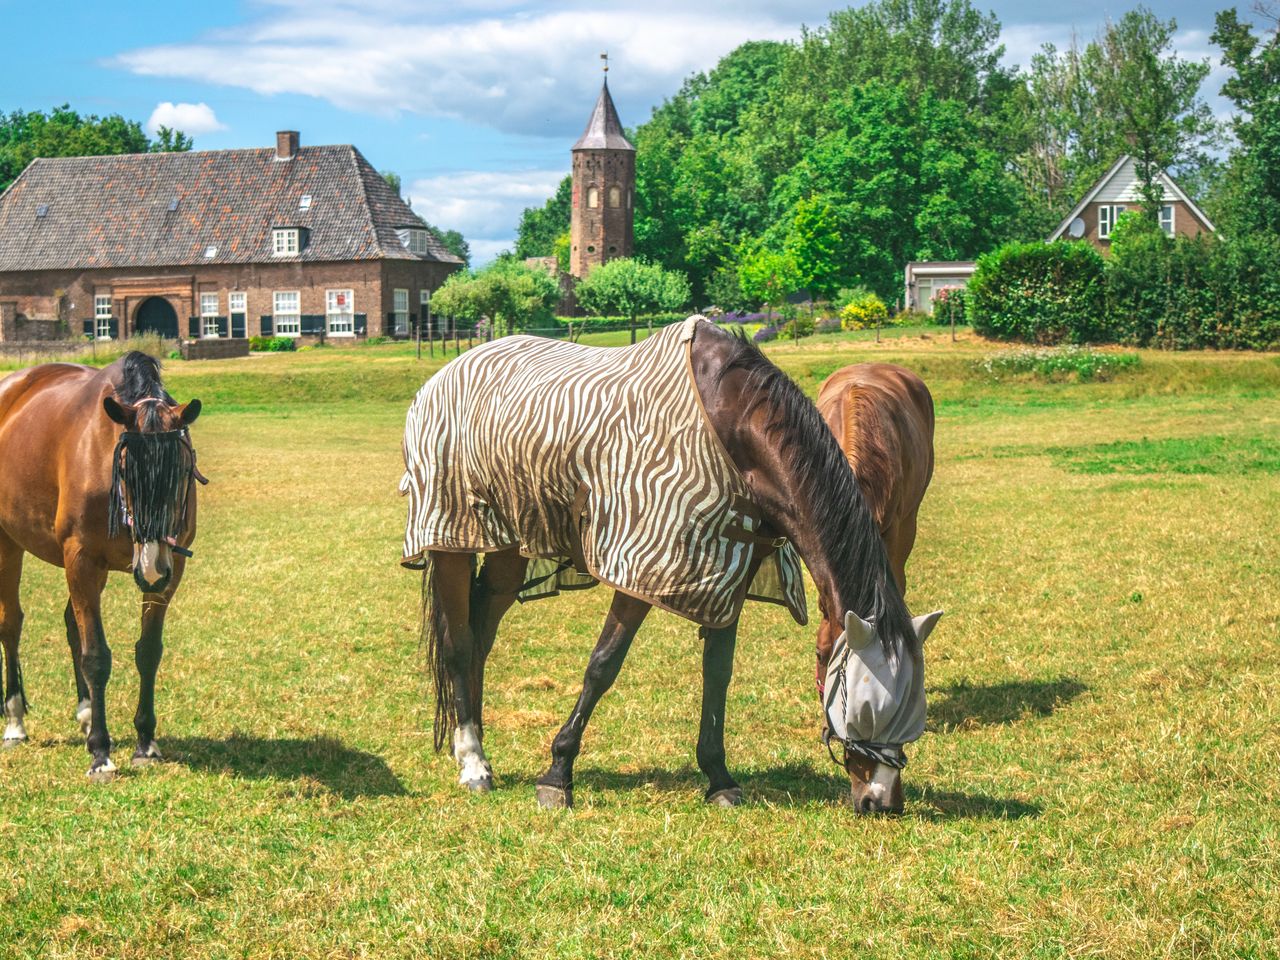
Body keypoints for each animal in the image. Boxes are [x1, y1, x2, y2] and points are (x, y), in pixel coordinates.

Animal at [0, 353, 200, 783]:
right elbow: (96, 656)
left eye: (181, 470)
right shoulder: (82, 558)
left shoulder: (171, 565)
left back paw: (88, 713)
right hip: (9, 543)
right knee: (11, 623)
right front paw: (100, 754)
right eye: (123, 470)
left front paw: (145, 743)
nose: (151, 568)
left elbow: (148, 651)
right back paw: (15, 721)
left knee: (71, 623)